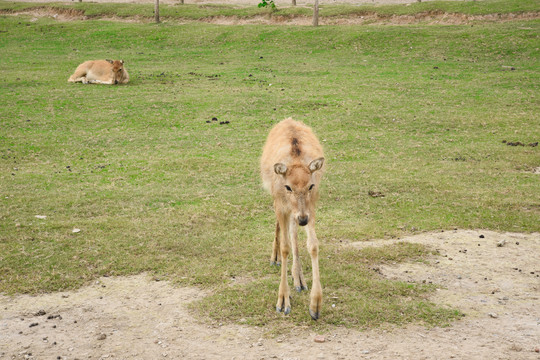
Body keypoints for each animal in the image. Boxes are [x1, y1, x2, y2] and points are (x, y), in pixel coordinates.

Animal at [260, 118, 324, 320]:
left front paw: (315, 305)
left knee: (293, 231)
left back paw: (299, 279)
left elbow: (313, 245)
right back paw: (274, 258)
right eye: (288, 187)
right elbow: (285, 247)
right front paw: (282, 302)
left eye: (311, 185)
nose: (303, 219)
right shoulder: (281, 204)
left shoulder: (311, 205)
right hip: (277, 201)